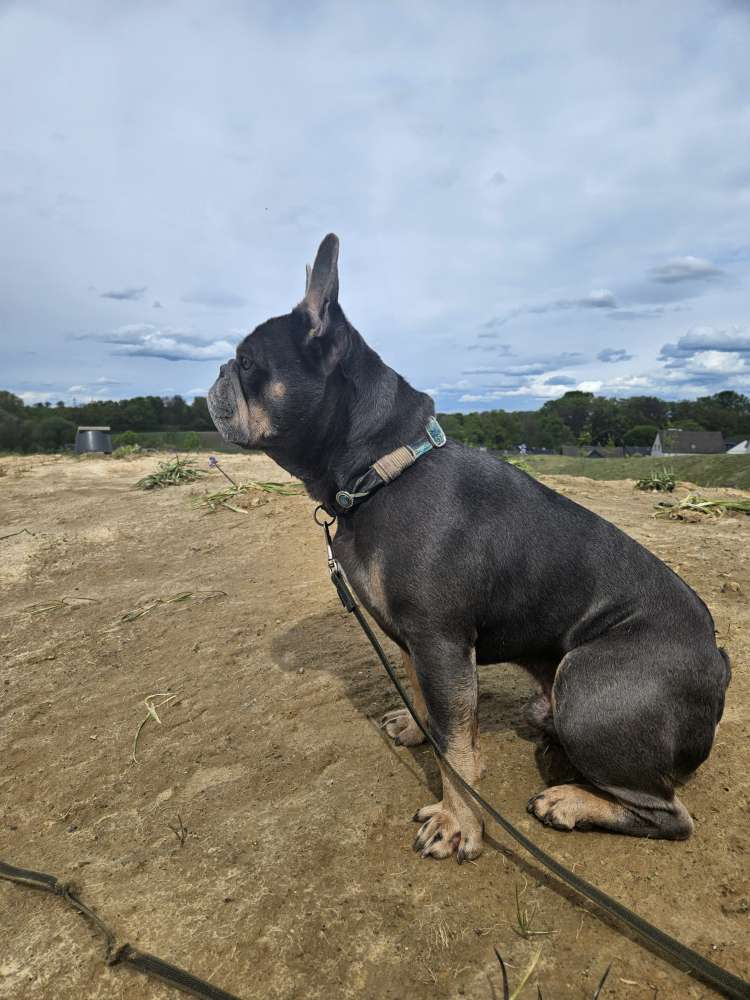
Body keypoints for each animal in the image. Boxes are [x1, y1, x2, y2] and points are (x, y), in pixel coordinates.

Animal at [207, 232, 736, 860]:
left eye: (246, 363)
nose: (217, 371)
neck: (382, 470)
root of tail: (718, 661)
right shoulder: (416, 642)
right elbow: (432, 711)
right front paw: (418, 730)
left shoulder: (440, 641)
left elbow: (456, 749)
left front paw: (457, 822)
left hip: (589, 684)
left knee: (668, 814)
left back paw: (570, 801)